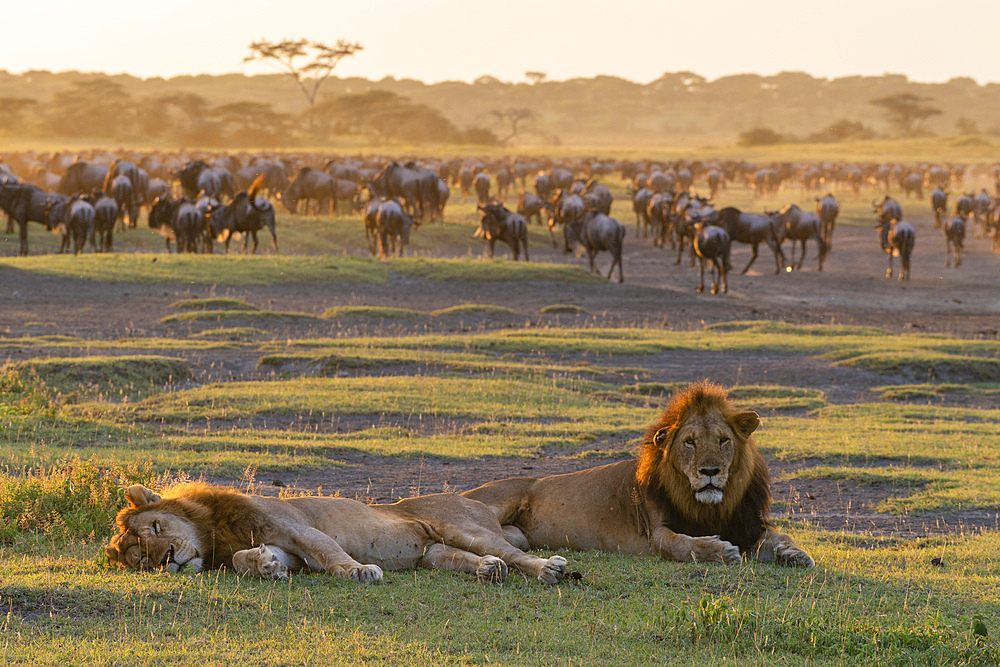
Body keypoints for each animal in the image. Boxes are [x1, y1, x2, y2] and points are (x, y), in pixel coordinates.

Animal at [464, 380, 816, 568]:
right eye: (690, 442)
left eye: (723, 440)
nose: (710, 471)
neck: (711, 507)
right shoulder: (656, 531)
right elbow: (682, 545)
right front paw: (721, 551)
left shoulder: (745, 525)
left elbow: (779, 535)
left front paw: (795, 553)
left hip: (517, 535)